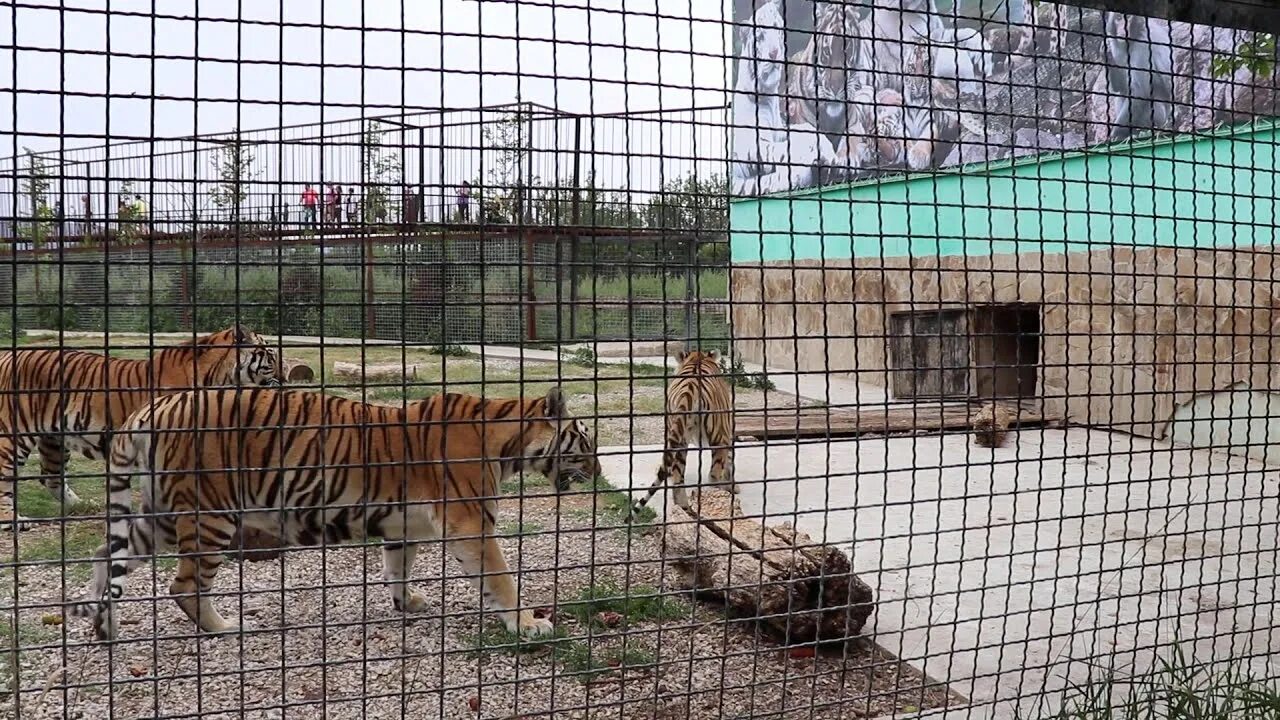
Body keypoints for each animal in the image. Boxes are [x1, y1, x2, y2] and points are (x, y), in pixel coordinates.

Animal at [0, 325, 280, 527]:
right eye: (271, 355)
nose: (285, 376)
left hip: (53, 438)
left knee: (50, 476)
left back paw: (82, 507)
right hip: (13, 435)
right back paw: (13, 521)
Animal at [72, 386, 601, 638]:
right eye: (586, 440)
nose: (598, 469)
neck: (507, 440)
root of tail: (151, 409)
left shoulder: (405, 525)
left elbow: (397, 567)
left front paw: (406, 603)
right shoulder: (472, 523)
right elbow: (501, 578)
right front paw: (527, 624)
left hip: (161, 516)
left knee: (104, 555)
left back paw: (103, 625)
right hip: (210, 515)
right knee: (183, 585)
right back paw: (226, 628)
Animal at [627, 345, 737, 517]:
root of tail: (691, 387)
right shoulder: (727, 432)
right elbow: (730, 460)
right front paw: (732, 486)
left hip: (679, 438)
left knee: (678, 480)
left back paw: (685, 509)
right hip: (718, 436)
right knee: (713, 475)